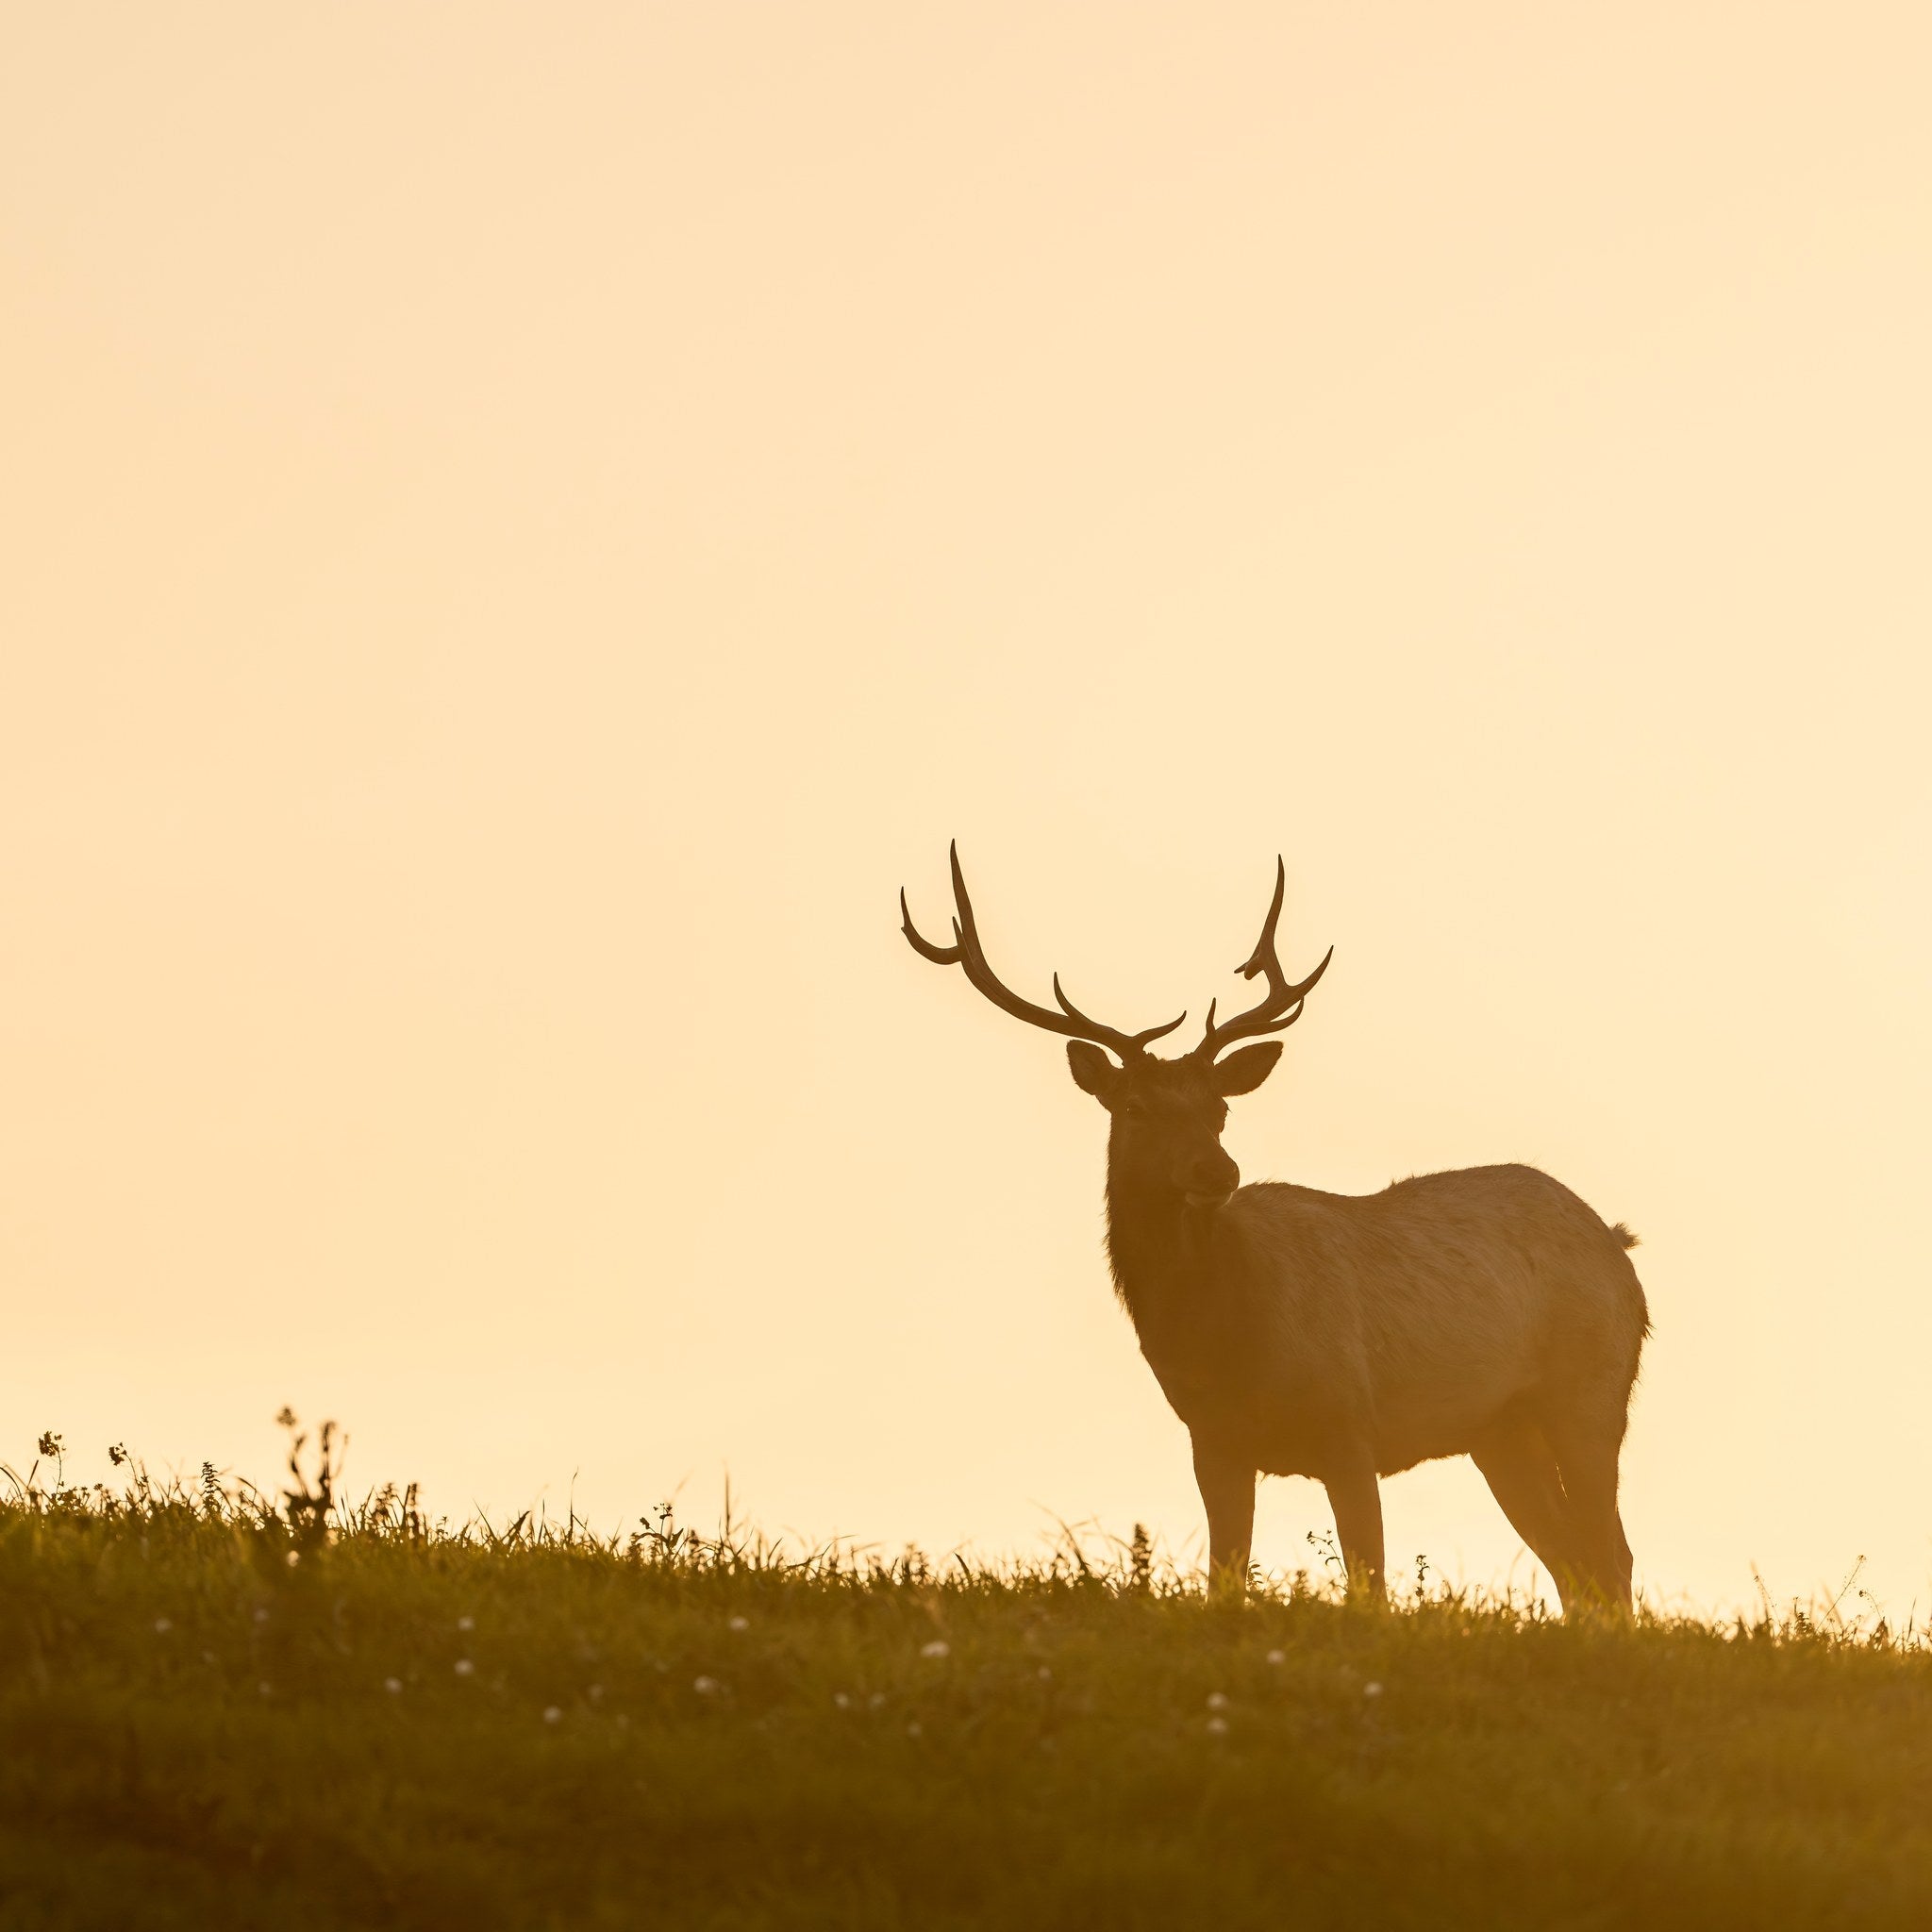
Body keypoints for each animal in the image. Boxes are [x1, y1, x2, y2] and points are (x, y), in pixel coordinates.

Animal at [900, 846, 1650, 1610]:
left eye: (1219, 1107)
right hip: (1499, 1429)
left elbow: (1369, 1584)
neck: (1222, 1337)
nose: (1216, 1170)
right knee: (1571, 1559)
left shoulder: (1350, 1425)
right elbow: (1224, 1580)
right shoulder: (1213, 1442)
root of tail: (1617, 1245)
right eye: (1135, 1107)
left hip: (1590, 1390)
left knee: (1610, 1552)